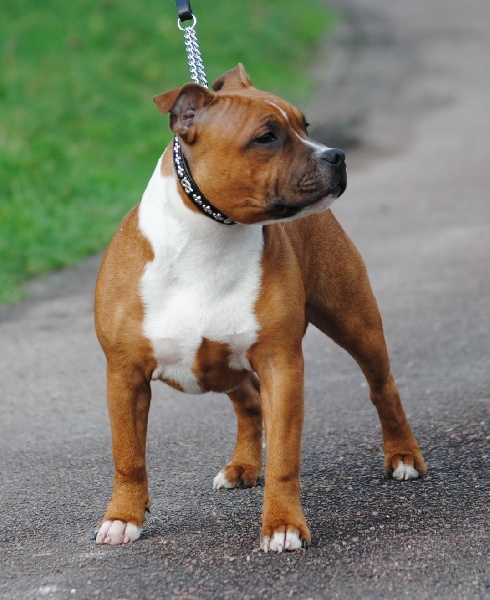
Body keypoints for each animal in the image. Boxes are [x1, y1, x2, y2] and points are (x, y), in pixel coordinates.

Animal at [94, 64, 426, 552]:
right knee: (247, 401)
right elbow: (127, 455)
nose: (336, 155)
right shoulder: (125, 374)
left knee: (383, 387)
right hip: (225, 366)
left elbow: (285, 457)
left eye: (304, 125)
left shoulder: (280, 364)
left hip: (356, 322)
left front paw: (283, 525)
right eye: (266, 137)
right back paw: (243, 468)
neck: (209, 239)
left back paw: (402, 455)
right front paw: (123, 518)